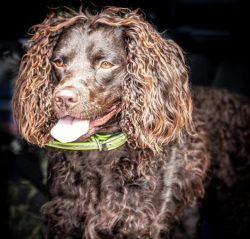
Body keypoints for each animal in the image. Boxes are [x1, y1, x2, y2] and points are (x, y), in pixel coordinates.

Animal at [12, 6, 250, 239]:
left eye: (105, 64)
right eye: (58, 62)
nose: (63, 98)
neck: (100, 160)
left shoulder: (139, 223)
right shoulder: (65, 219)